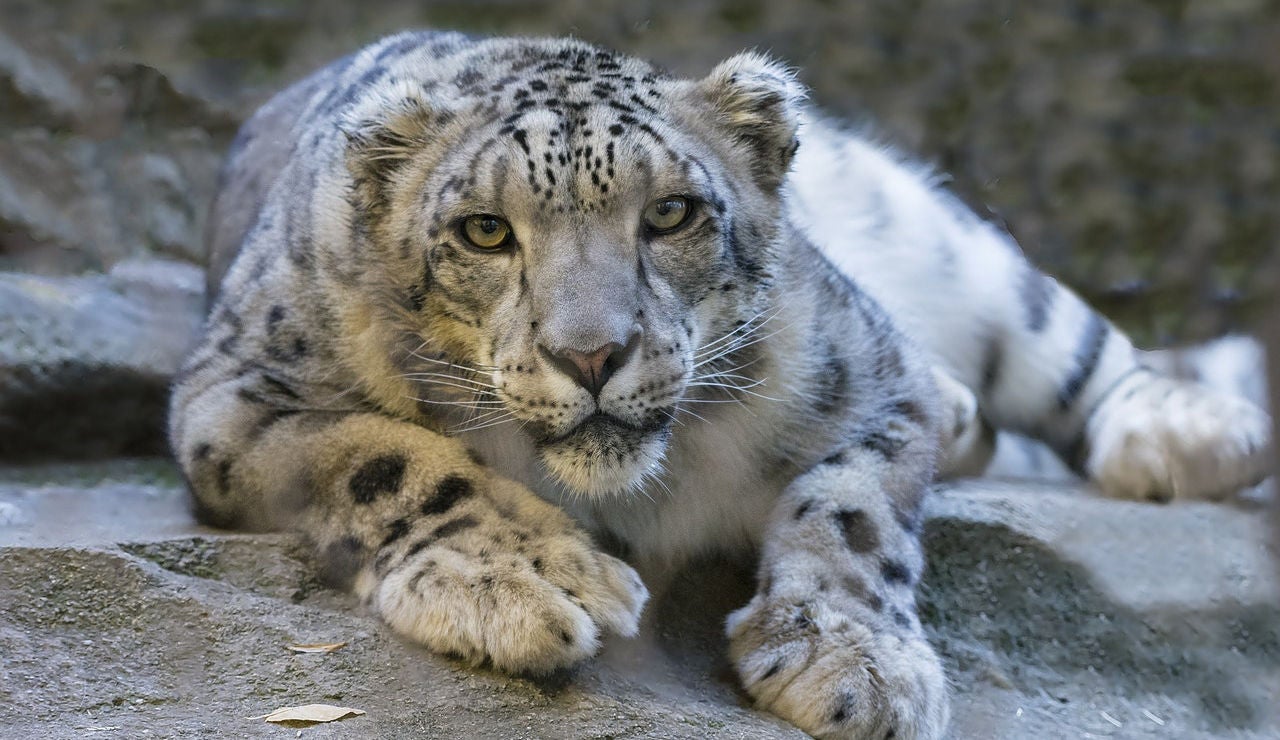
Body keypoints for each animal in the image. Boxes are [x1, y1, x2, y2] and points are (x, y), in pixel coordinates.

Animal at [169, 30, 1273, 739]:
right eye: (483, 230)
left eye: (670, 214)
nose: (591, 352)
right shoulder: (238, 392)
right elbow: (386, 455)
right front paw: (528, 580)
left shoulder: (873, 368)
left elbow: (854, 507)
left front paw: (850, 662)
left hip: (942, 241)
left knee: (1068, 340)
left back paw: (1190, 432)